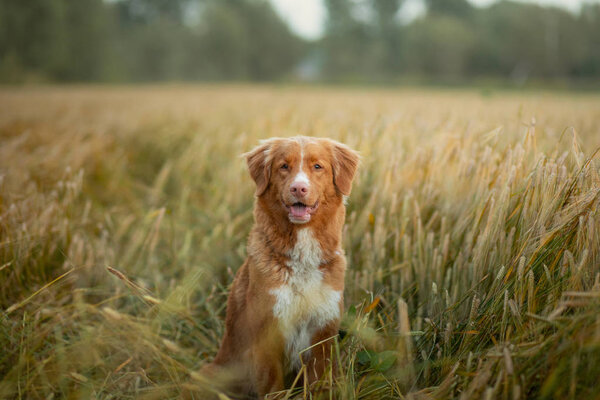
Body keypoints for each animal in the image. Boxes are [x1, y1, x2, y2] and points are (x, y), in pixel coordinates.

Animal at [204, 137, 358, 396]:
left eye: (317, 166)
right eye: (284, 166)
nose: (299, 188)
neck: (302, 257)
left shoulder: (322, 333)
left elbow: (320, 385)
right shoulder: (268, 335)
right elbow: (273, 388)